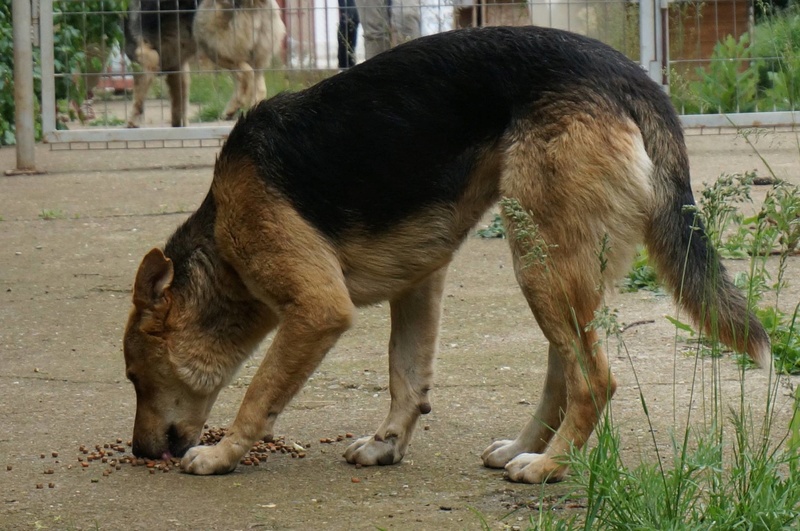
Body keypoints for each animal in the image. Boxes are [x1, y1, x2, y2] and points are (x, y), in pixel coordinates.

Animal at [123, 27, 768, 484]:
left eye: (134, 376)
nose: (138, 451)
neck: (221, 238)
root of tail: (633, 78)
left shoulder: (317, 309)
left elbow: (260, 395)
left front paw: (223, 454)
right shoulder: (419, 284)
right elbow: (406, 377)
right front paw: (387, 445)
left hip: (541, 264)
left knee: (594, 380)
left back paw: (549, 466)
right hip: (557, 268)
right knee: (565, 369)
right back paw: (523, 448)